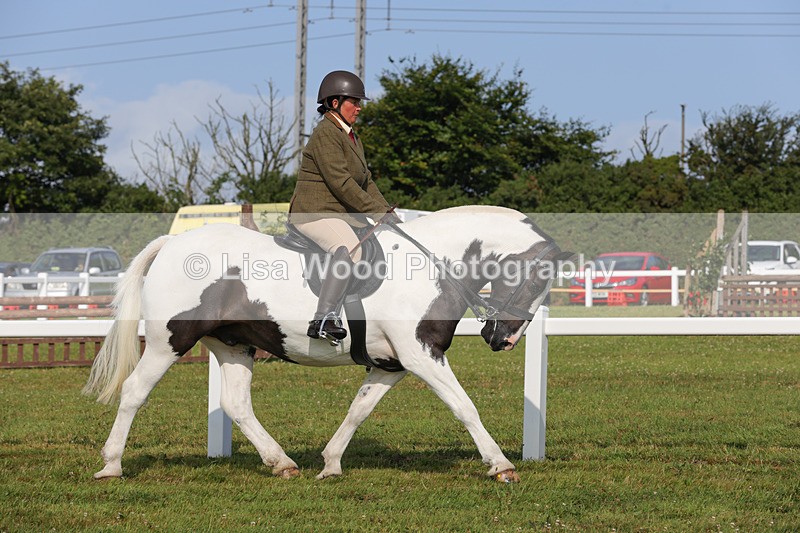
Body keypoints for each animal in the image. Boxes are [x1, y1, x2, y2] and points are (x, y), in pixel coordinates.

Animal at [83, 205, 570, 483]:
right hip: (169, 341)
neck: (431, 263)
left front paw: (331, 464)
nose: (504, 339)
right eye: (536, 280)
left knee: (237, 404)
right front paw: (501, 465)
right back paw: (111, 465)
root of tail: (171, 244)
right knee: (134, 392)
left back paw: (281, 463)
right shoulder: (421, 356)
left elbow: (359, 410)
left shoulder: (391, 364)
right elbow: (464, 406)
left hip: (234, 344)